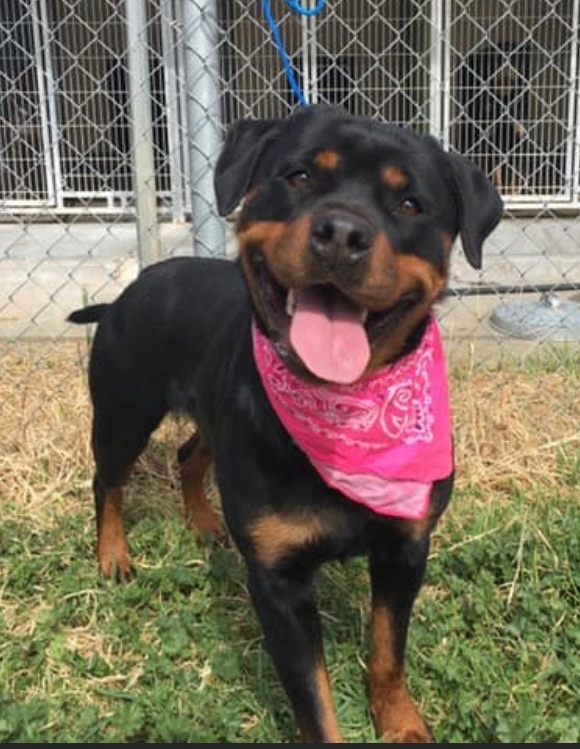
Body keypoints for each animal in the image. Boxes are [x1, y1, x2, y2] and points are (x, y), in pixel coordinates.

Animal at [69, 105, 502, 744]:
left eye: (410, 204)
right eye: (298, 176)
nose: (343, 233)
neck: (343, 410)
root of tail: (128, 292)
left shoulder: (405, 549)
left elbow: (388, 651)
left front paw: (400, 722)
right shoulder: (280, 583)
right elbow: (314, 700)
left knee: (189, 456)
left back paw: (204, 523)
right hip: (125, 412)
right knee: (108, 481)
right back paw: (113, 555)